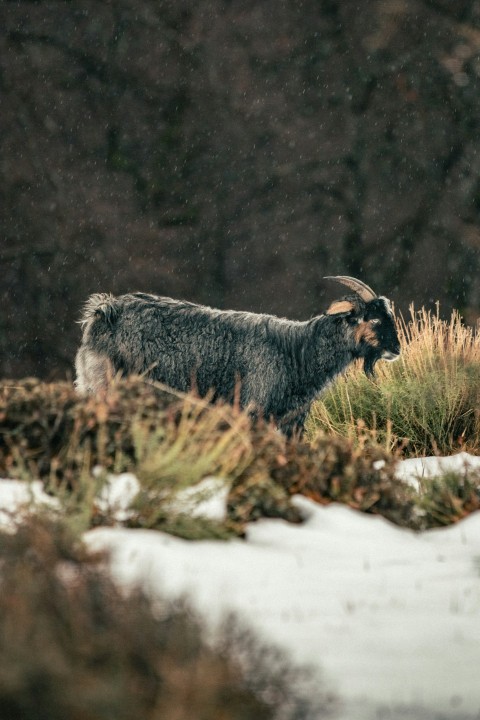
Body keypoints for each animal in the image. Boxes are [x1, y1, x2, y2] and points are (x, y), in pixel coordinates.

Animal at [73, 274, 400, 434]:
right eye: (373, 319)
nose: (396, 349)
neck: (295, 351)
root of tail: (104, 311)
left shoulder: (291, 420)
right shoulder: (253, 410)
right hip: (107, 386)